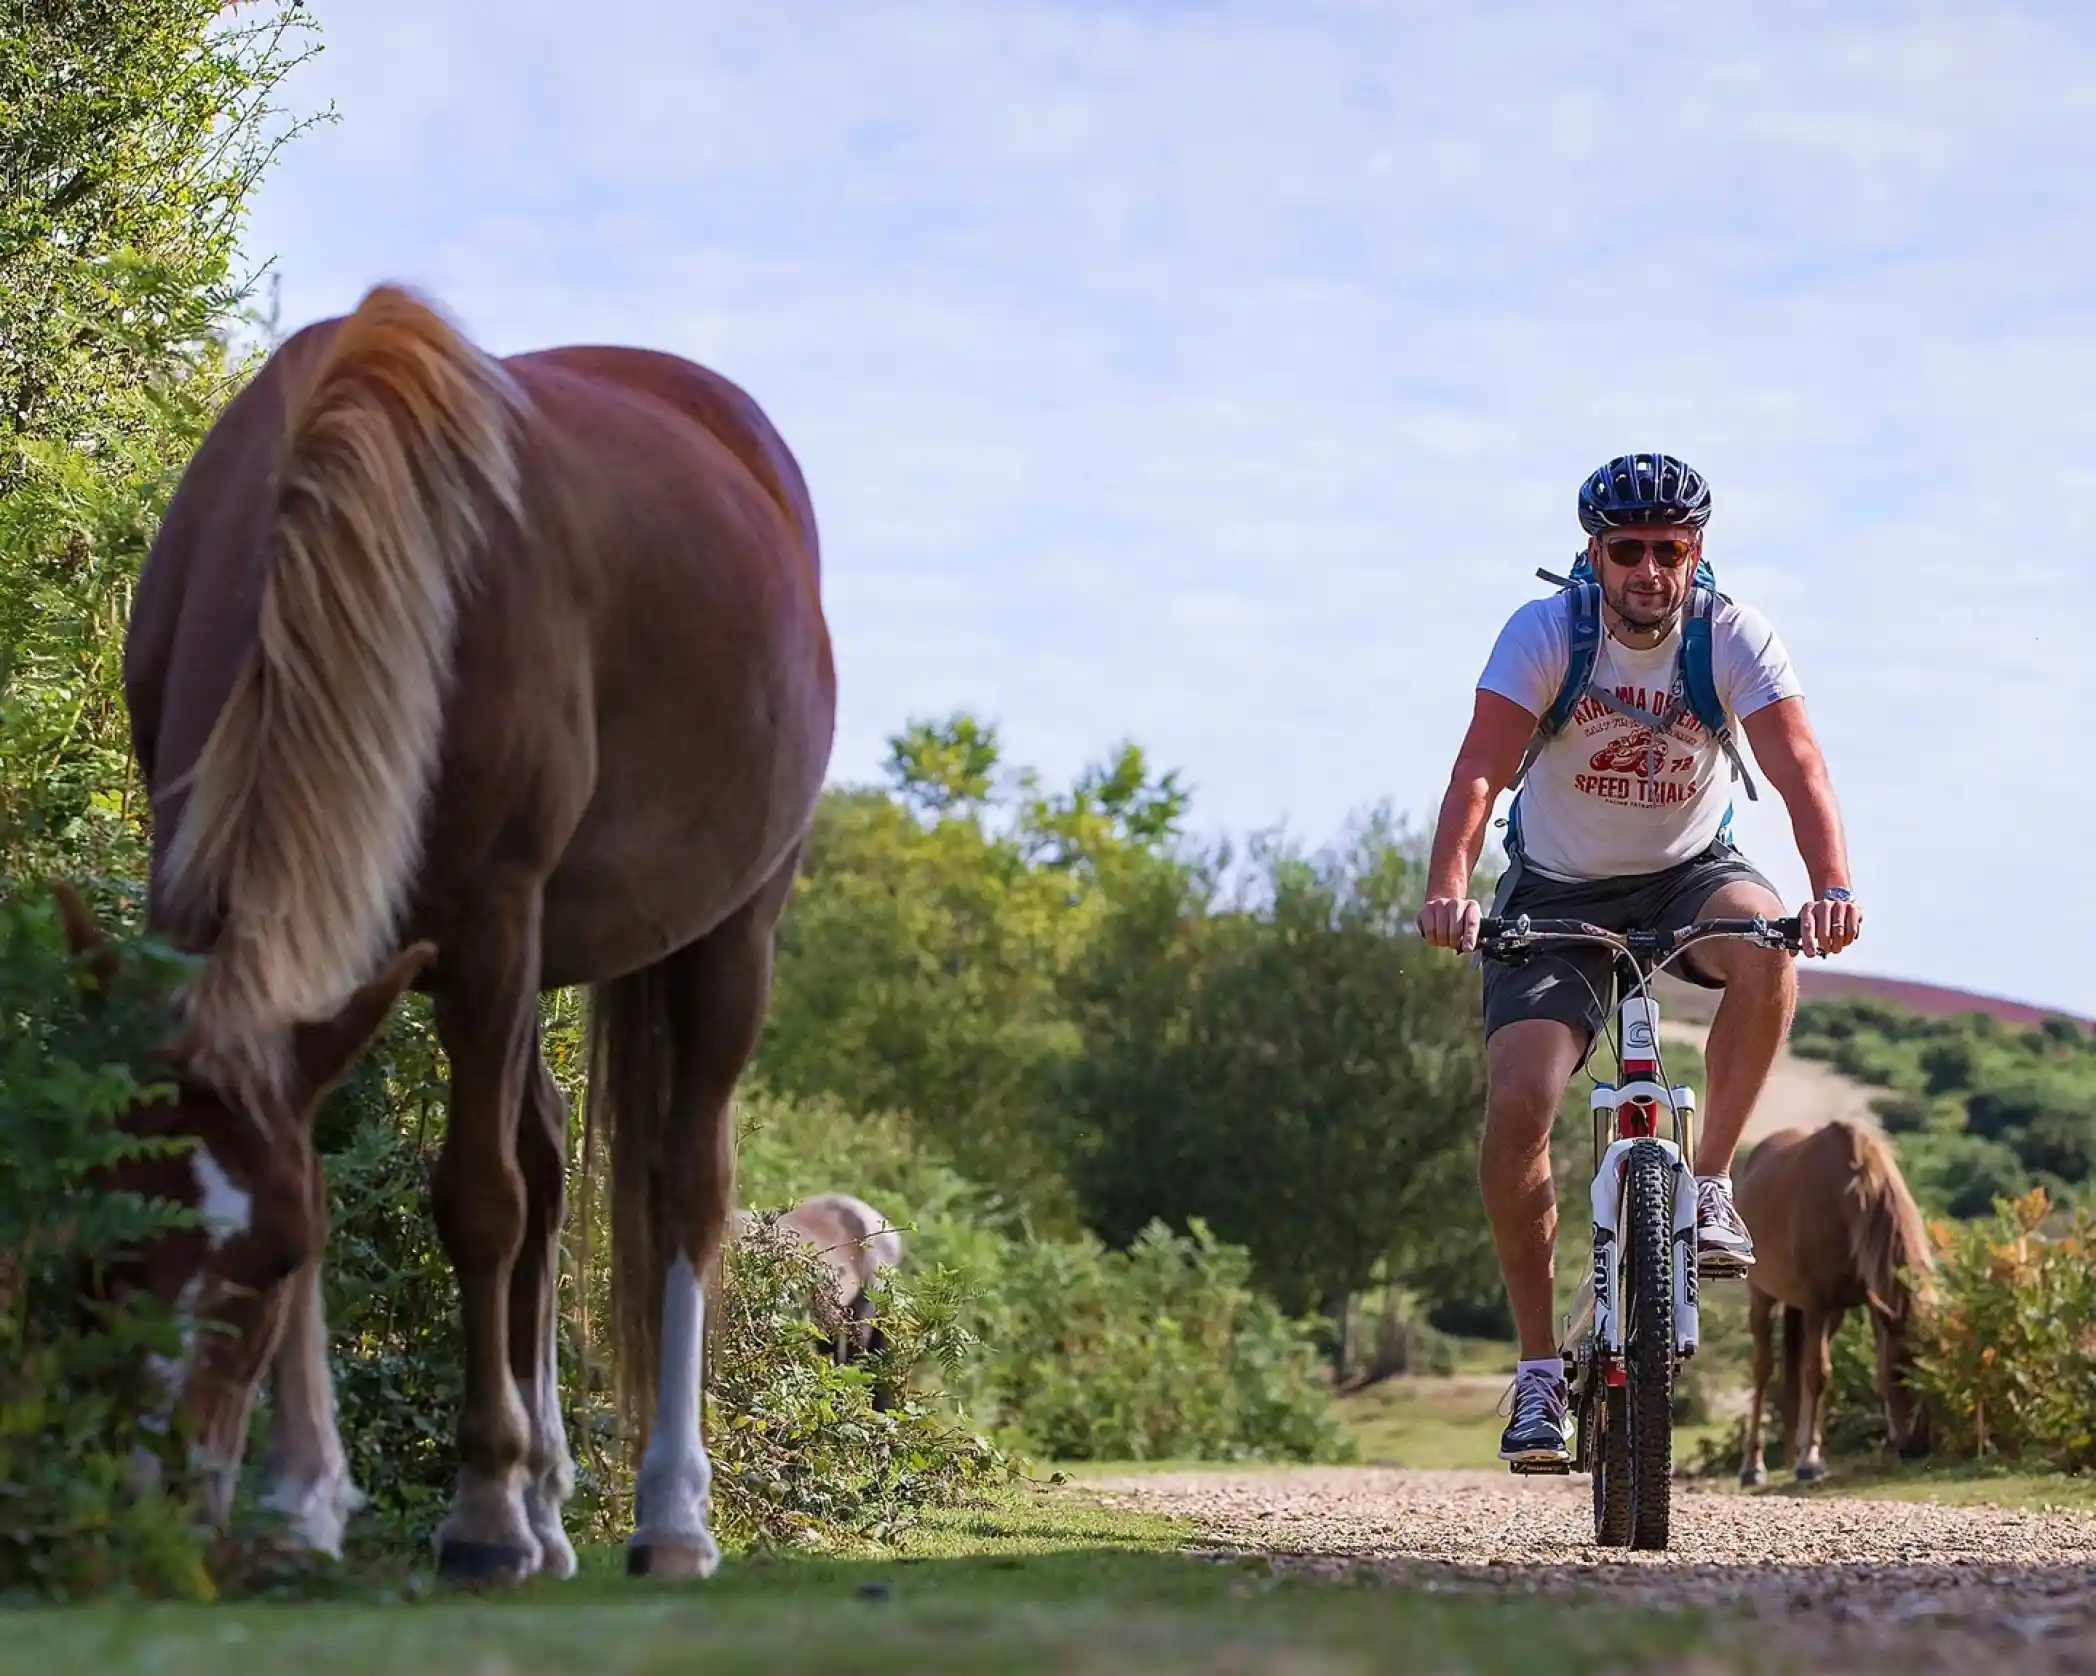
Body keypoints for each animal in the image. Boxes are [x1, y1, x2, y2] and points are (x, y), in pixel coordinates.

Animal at [69, 279, 835, 1587]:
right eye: (115, 1243)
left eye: (264, 1263)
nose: (156, 1510)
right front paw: (305, 1502)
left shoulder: (488, 920)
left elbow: (479, 1202)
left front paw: (477, 1510)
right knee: (552, 1161)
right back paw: (551, 1504)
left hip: (730, 929)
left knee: (685, 1182)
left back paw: (666, 1514)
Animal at [1734, 1118, 1936, 1485]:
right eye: (1898, 1372)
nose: (1917, 1446)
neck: (1850, 1198)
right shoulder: (1817, 1303)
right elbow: (1818, 1374)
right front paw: (1810, 1463)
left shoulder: (1868, 1306)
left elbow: (1816, 1373)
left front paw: (1810, 1454)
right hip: (1763, 1297)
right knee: (1763, 1369)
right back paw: (1753, 1466)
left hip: (1829, 1314)